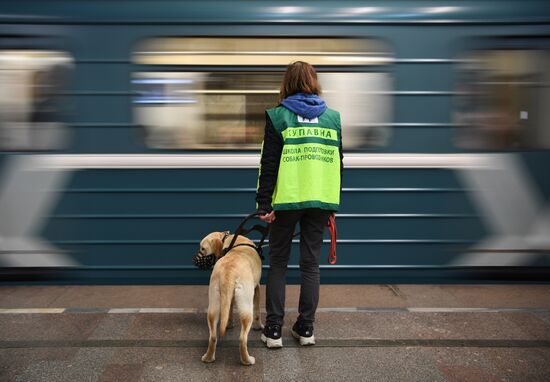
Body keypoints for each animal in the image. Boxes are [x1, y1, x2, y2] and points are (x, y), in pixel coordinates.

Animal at [198, 231, 266, 366]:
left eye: (203, 248)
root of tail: (228, 272)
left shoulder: (227, 299)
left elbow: (228, 312)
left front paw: (229, 324)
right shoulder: (257, 288)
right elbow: (257, 312)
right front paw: (258, 326)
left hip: (213, 306)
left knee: (213, 336)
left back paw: (208, 358)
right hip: (246, 309)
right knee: (242, 338)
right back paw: (247, 360)